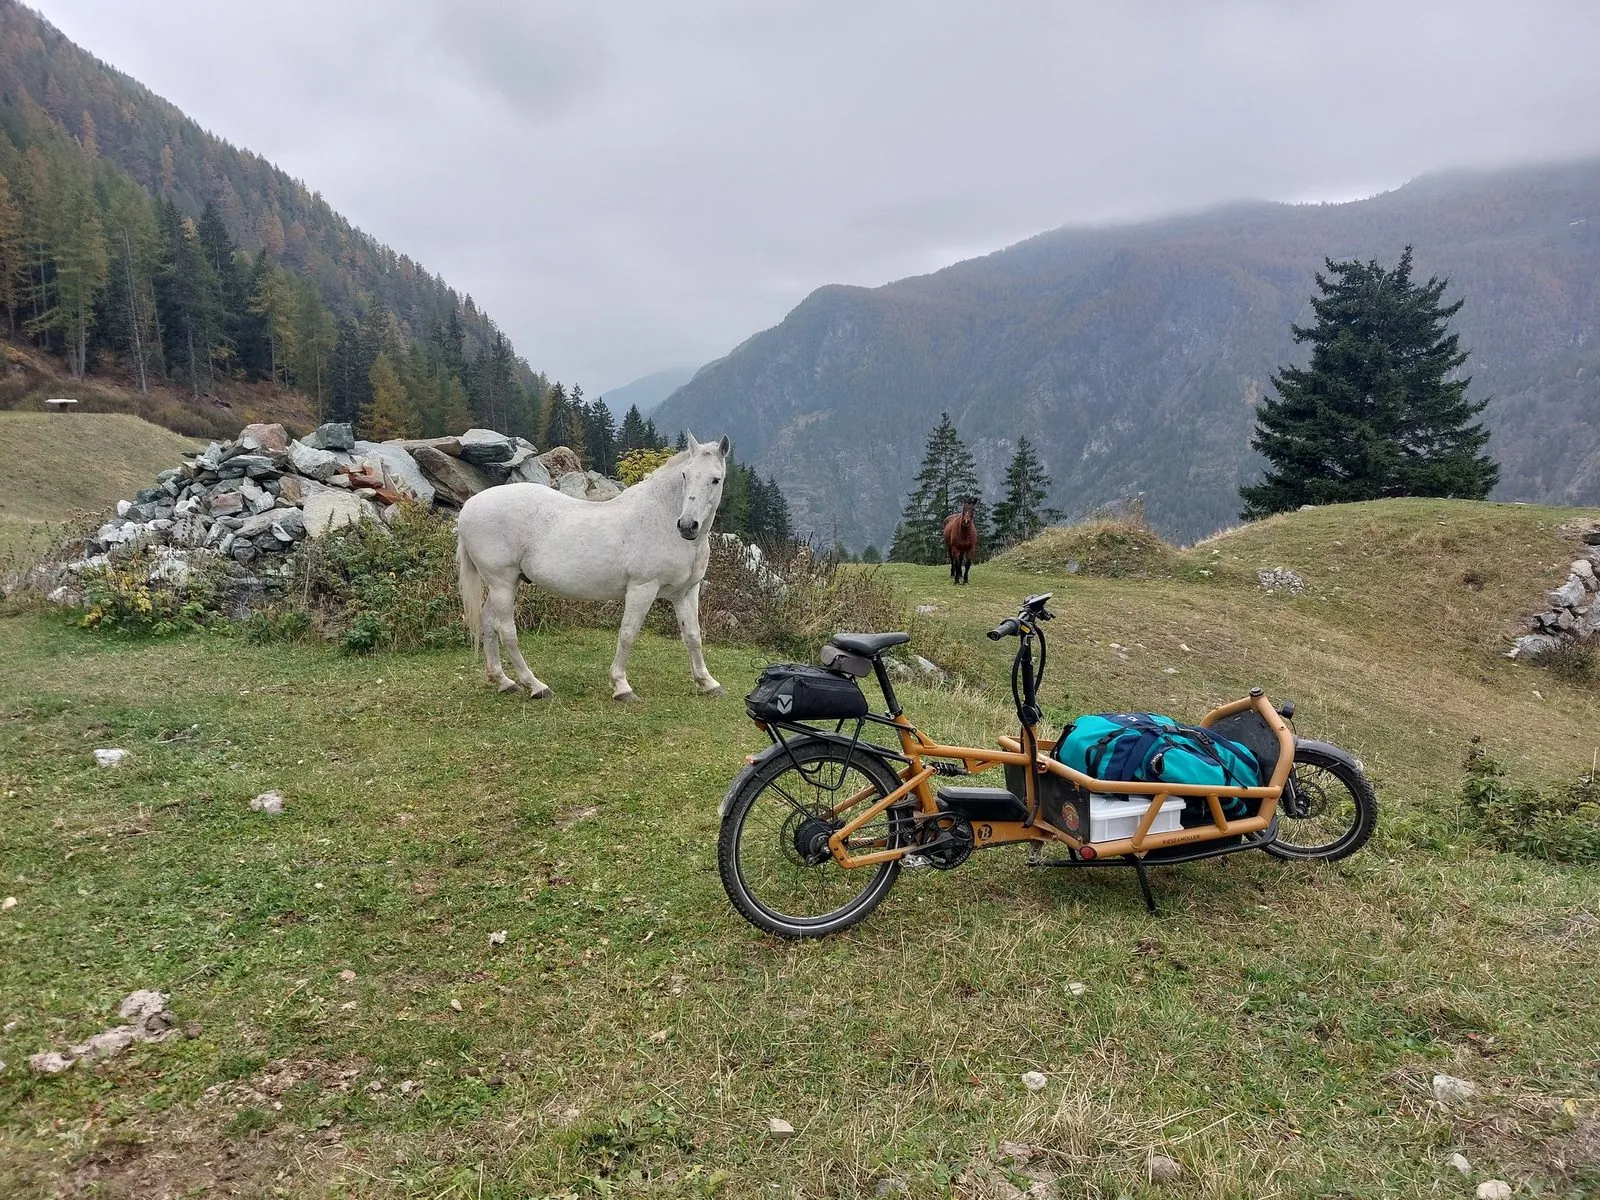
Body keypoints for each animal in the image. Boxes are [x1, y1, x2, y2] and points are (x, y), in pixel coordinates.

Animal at [455, 433, 730, 702]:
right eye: (685, 475)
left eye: (715, 479)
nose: (687, 526)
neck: (660, 519)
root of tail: (469, 507)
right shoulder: (642, 588)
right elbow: (628, 633)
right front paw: (621, 686)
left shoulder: (685, 592)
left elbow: (693, 636)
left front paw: (708, 683)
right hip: (502, 583)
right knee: (507, 631)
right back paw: (536, 686)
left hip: (503, 584)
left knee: (488, 623)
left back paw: (503, 681)